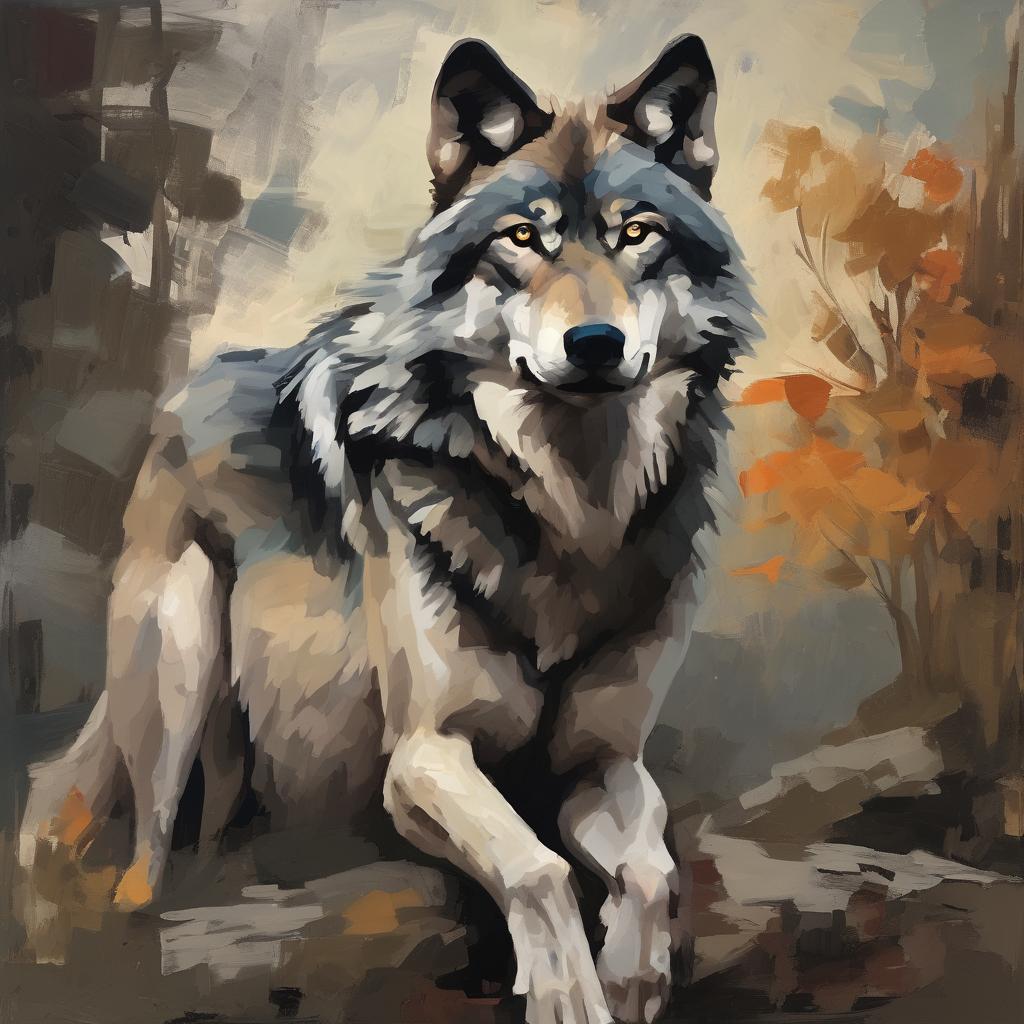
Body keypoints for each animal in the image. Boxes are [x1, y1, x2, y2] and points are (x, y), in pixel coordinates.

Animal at [20, 34, 757, 1024]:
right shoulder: (422, 756)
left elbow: (650, 874)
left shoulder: (601, 761)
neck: (571, 514)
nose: (596, 345)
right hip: (181, 670)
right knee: (136, 861)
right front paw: (569, 991)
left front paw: (632, 978)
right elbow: (539, 871)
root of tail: (191, 385)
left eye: (637, 234)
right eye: (522, 239)